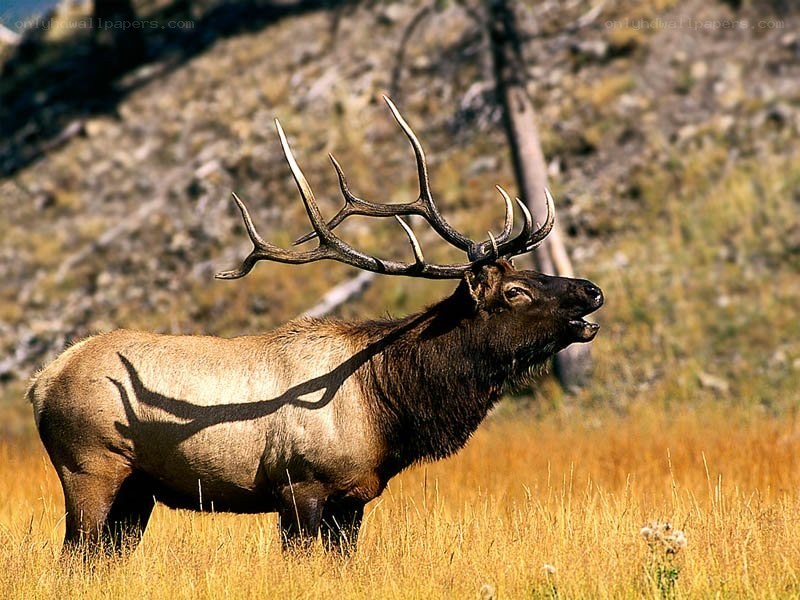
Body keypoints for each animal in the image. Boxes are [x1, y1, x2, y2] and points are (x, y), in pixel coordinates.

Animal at [28, 97, 603, 558]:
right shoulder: (299, 485)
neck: (387, 408)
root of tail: (41, 382)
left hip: (137, 488)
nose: (592, 290)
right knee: (74, 555)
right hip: (89, 467)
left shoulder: (354, 497)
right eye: (516, 291)